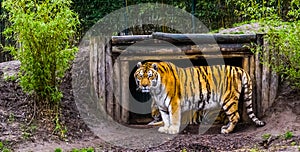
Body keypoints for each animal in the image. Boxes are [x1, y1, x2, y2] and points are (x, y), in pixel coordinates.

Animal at [134, 60, 264, 134]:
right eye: (140, 76)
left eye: (150, 76)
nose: (144, 85)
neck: (156, 91)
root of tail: (239, 69)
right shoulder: (163, 106)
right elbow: (166, 119)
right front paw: (166, 128)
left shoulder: (174, 103)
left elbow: (173, 118)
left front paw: (173, 130)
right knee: (231, 117)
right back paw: (226, 127)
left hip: (228, 100)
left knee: (235, 116)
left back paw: (227, 131)